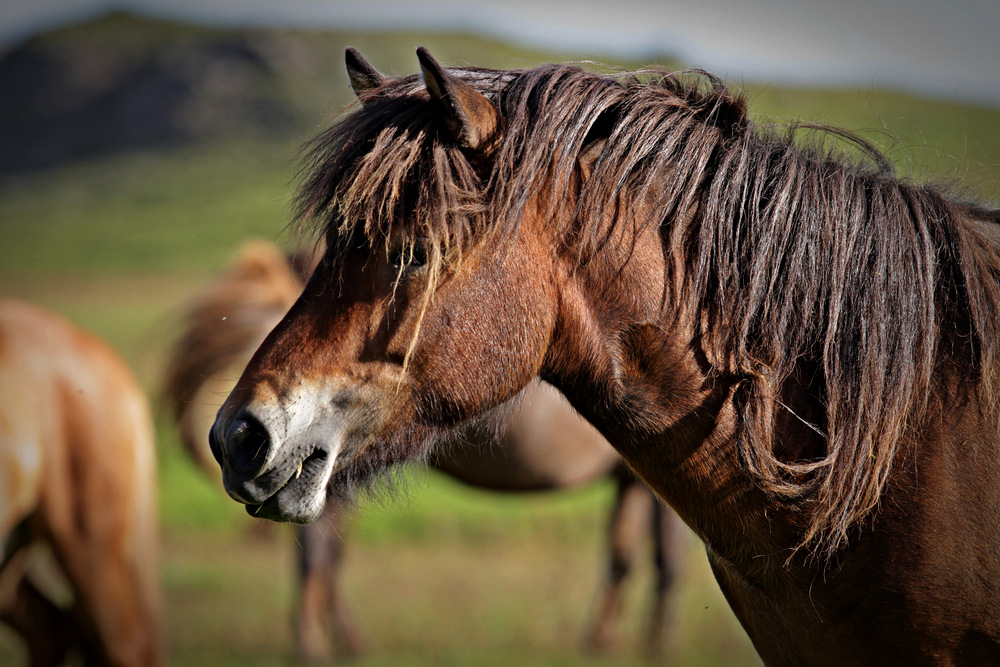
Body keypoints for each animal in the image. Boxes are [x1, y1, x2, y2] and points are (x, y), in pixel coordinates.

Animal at [168, 240, 688, 664]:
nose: (237, 437)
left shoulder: (634, 481)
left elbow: (623, 555)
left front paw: (604, 639)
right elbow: (664, 560)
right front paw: (658, 645)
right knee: (318, 556)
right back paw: (319, 645)